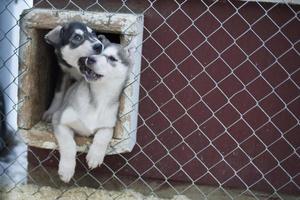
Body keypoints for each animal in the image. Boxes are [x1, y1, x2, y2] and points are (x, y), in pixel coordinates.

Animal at [51, 42, 134, 183]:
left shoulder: (108, 125)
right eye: (97, 52)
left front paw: (95, 156)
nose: (90, 59)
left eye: (112, 58)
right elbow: (69, 144)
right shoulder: (59, 119)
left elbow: (103, 136)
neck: (99, 98)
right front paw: (66, 169)